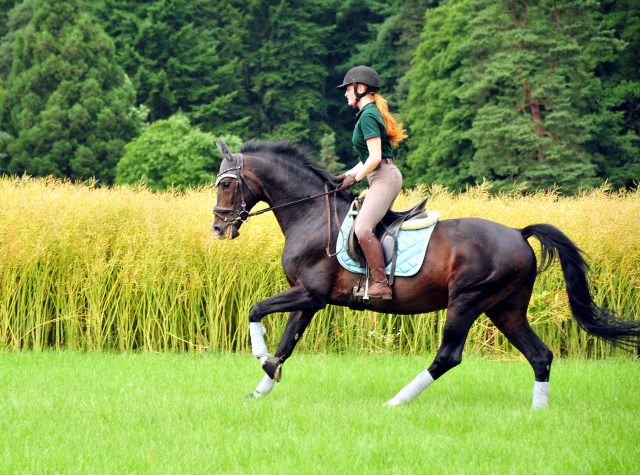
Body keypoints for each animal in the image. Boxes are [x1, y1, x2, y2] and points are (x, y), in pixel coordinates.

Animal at [212, 139, 640, 410]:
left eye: (227, 183)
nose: (218, 229)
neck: (313, 216)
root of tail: (519, 234)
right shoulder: (308, 297)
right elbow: (286, 343)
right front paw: (261, 388)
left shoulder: (310, 294)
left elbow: (256, 311)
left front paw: (260, 357)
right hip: (505, 308)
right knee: (540, 355)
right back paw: (538, 413)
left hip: (467, 301)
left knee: (448, 355)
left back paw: (397, 401)